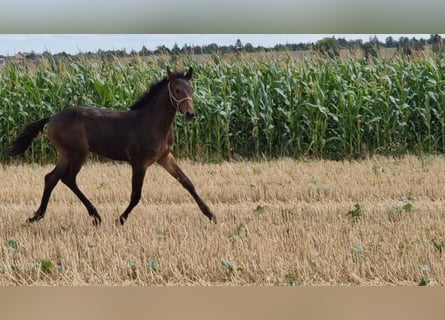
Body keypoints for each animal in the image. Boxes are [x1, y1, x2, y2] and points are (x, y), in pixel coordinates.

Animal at [8, 68, 217, 225]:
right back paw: (95, 215)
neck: (152, 123)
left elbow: (187, 182)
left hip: (66, 154)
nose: (190, 114)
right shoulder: (139, 162)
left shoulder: (164, 157)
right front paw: (120, 219)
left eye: (191, 89)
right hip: (77, 153)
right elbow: (136, 195)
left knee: (51, 178)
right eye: (176, 90)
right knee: (67, 178)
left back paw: (37, 215)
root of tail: (52, 118)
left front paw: (211, 215)